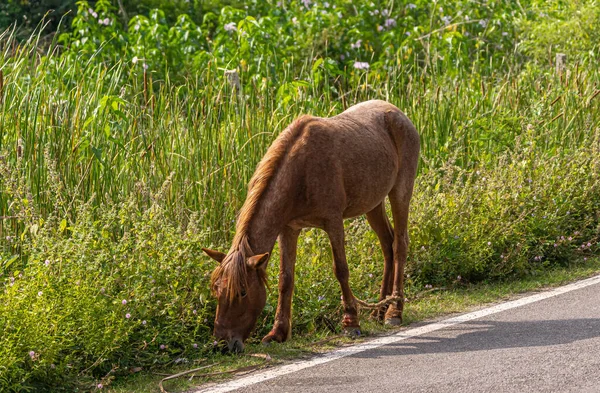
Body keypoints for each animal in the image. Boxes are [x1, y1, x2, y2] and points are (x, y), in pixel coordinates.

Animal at [204, 99, 420, 350]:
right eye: (216, 290)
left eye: (242, 292)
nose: (221, 344)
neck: (300, 172)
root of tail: (398, 114)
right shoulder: (289, 229)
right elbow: (285, 279)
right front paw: (277, 332)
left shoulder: (333, 222)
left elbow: (341, 270)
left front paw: (351, 323)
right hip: (373, 203)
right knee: (387, 244)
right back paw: (379, 310)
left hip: (400, 191)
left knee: (399, 245)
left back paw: (394, 312)